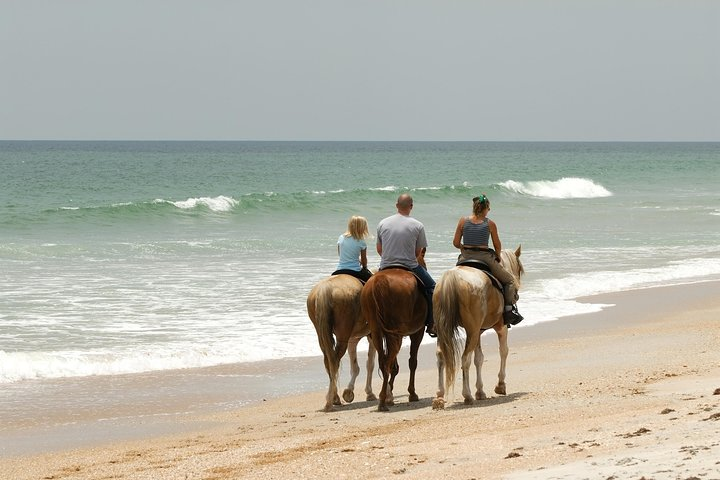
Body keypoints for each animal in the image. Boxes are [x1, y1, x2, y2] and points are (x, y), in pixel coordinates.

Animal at [306, 274, 380, 412]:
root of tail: (325, 289)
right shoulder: (371, 336)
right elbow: (370, 364)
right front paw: (369, 393)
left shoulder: (353, 339)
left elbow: (356, 366)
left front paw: (349, 391)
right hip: (342, 337)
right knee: (334, 361)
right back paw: (330, 401)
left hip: (323, 336)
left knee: (328, 361)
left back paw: (334, 398)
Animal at [360, 268, 428, 410]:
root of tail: (378, 281)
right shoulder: (417, 332)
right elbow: (412, 362)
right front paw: (412, 393)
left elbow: (394, 366)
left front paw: (390, 392)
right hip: (394, 333)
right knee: (387, 362)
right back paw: (385, 399)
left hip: (377, 331)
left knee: (383, 362)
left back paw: (383, 400)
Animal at [430, 248, 524, 408]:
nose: (516, 294)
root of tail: (451, 277)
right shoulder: (501, 327)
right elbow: (503, 351)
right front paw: (500, 385)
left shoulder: (478, 332)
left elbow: (479, 359)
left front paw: (480, 391)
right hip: (471, 331)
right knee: (465, 359)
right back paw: (467, 395)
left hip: (446, 332)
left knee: (441, 356)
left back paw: (439, 395)